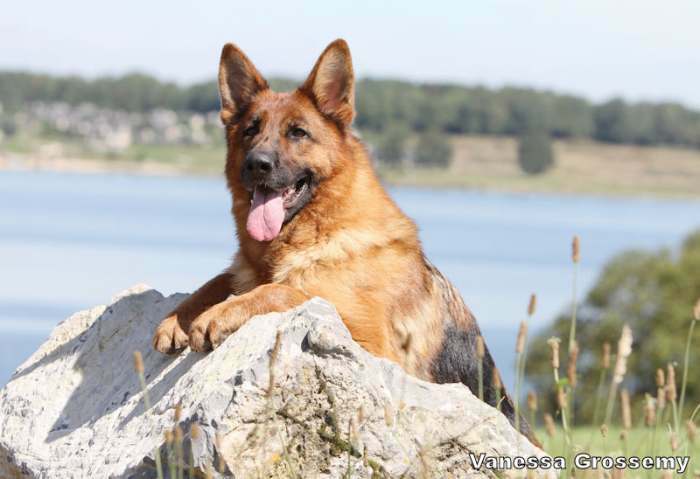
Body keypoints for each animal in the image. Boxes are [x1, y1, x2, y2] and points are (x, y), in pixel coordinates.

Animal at [153, 38, 532, 442]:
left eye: (298, 133)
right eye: (250, 130)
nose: (257, 164)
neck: (318, 233)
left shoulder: (370, 347)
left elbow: (288, 290)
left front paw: (221, 313)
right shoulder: (247, 270)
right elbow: (220, 279)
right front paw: (179, 317)